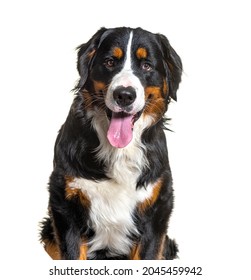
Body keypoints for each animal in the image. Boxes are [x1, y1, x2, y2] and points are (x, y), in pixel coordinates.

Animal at [40, 26, 182, 260]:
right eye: (109, 62)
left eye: (146, 65)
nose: (124, 95)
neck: (118, 151)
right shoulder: (65, 203)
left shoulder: (156, 210)